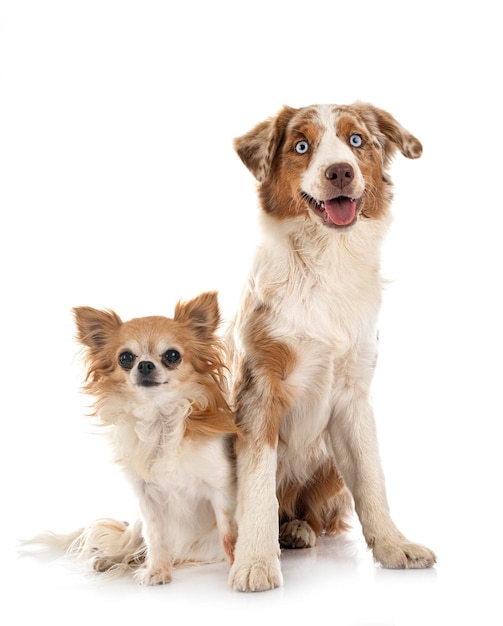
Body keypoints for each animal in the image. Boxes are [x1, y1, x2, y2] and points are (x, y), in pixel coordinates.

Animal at [26, 290, 239, 584]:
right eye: (126, 358)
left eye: (172, 355)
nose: (145, 364)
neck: (159, 421)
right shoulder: (147, 499)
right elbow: (155, 536)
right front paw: (158, 571)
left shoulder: (221, 490)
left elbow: (230, 536)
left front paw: (239, 568)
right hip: (136, 523)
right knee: (134, 547)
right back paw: (112, 559)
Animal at [228, 101, 438, 588]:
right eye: (302, 146)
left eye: (356, 140)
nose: (340, 171)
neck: (326, 263)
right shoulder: (258, 388)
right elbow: (257, 483)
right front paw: (254, 561)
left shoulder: (353, 394)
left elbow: (371, 478)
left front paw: (394, 546)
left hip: (325, 467)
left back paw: (296, 529)